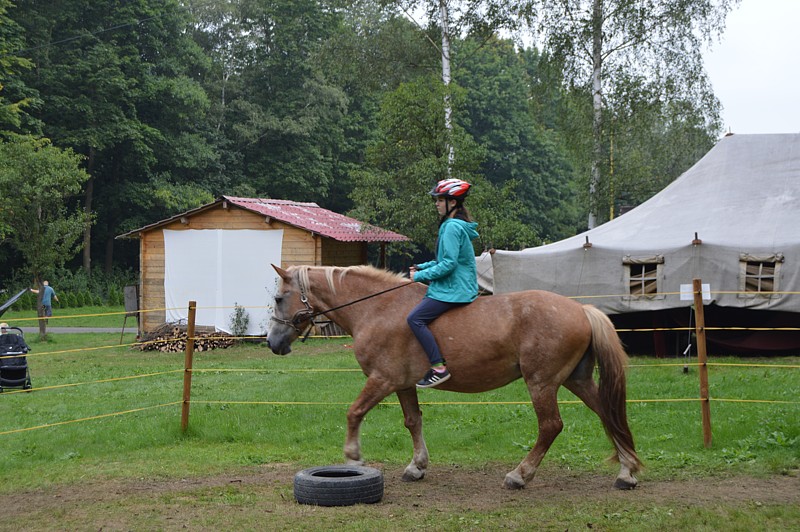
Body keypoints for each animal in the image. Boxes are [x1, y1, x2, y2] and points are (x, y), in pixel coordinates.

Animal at [268, 264, 644, 488]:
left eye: (278, 297)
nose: (272, 343)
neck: (376, 309)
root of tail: (581, 308)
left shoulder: (382, 379)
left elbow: (354, 412)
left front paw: (352, 457)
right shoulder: (403, 384)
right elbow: (413, 421)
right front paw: (417, 466)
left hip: (542, 383)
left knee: (551, 426)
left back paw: (520, 474)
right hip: (575, 380)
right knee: (607, 414)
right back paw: (626, 471)